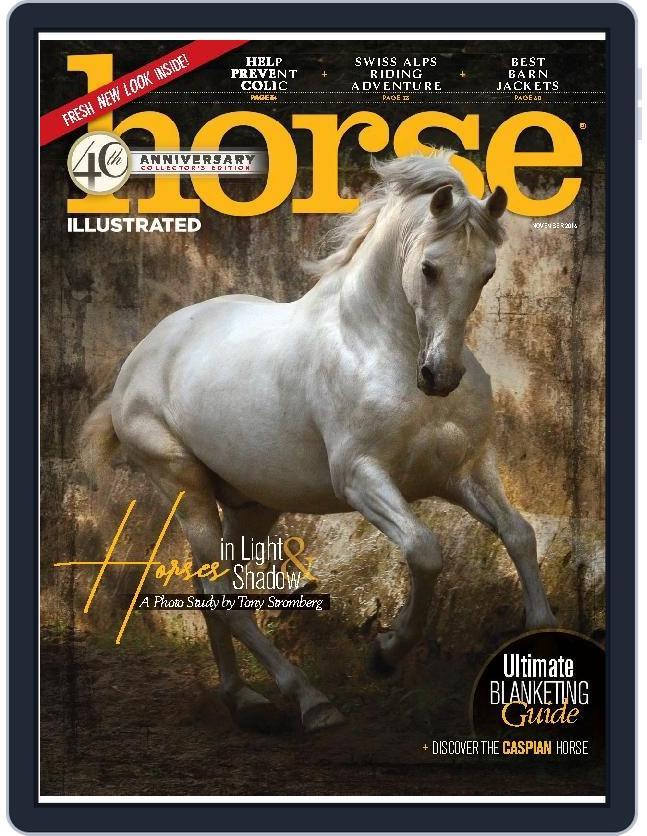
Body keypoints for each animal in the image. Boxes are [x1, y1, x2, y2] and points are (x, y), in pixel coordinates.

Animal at [80, 151, 556, 734]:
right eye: (429, 268)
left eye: (487, 273)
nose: (440, 376)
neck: (380, 348)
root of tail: (141, 356)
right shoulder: (360, 477)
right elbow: (424, 551)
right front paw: (386, 654)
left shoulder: (463, 471)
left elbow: (519, 534)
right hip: (184, 486)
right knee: (221, 592)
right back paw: (310, 700)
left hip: (251, 504)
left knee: (212, 587)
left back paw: (244, 698)